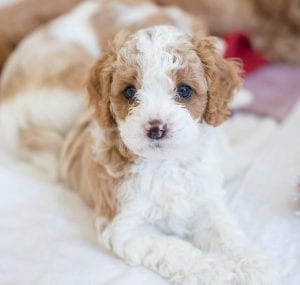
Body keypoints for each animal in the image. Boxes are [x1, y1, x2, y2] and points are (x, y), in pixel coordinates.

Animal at [0, 0, 276, 282]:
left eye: (184, 90)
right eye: (130, 92)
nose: (156, 128)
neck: (165, 163)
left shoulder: (205, 204)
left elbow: (226, 234)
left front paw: (252, 264)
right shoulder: (126, 227)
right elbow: (175, 248)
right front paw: (216, 269)